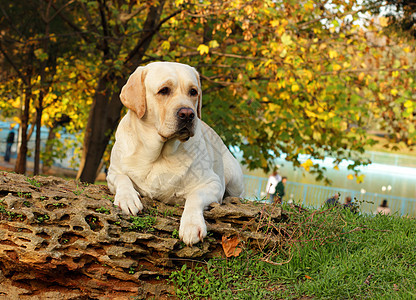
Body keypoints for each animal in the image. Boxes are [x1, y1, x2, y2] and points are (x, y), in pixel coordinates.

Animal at [106, 61, 244, 246]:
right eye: (164, 90)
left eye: (193, 92)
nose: (188, 114)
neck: (158, 154)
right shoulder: (113, 172)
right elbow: (123, 178)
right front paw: (128, 199)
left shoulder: (213, 183)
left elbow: (195, 196)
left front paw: (192, 225)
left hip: (235, 178)